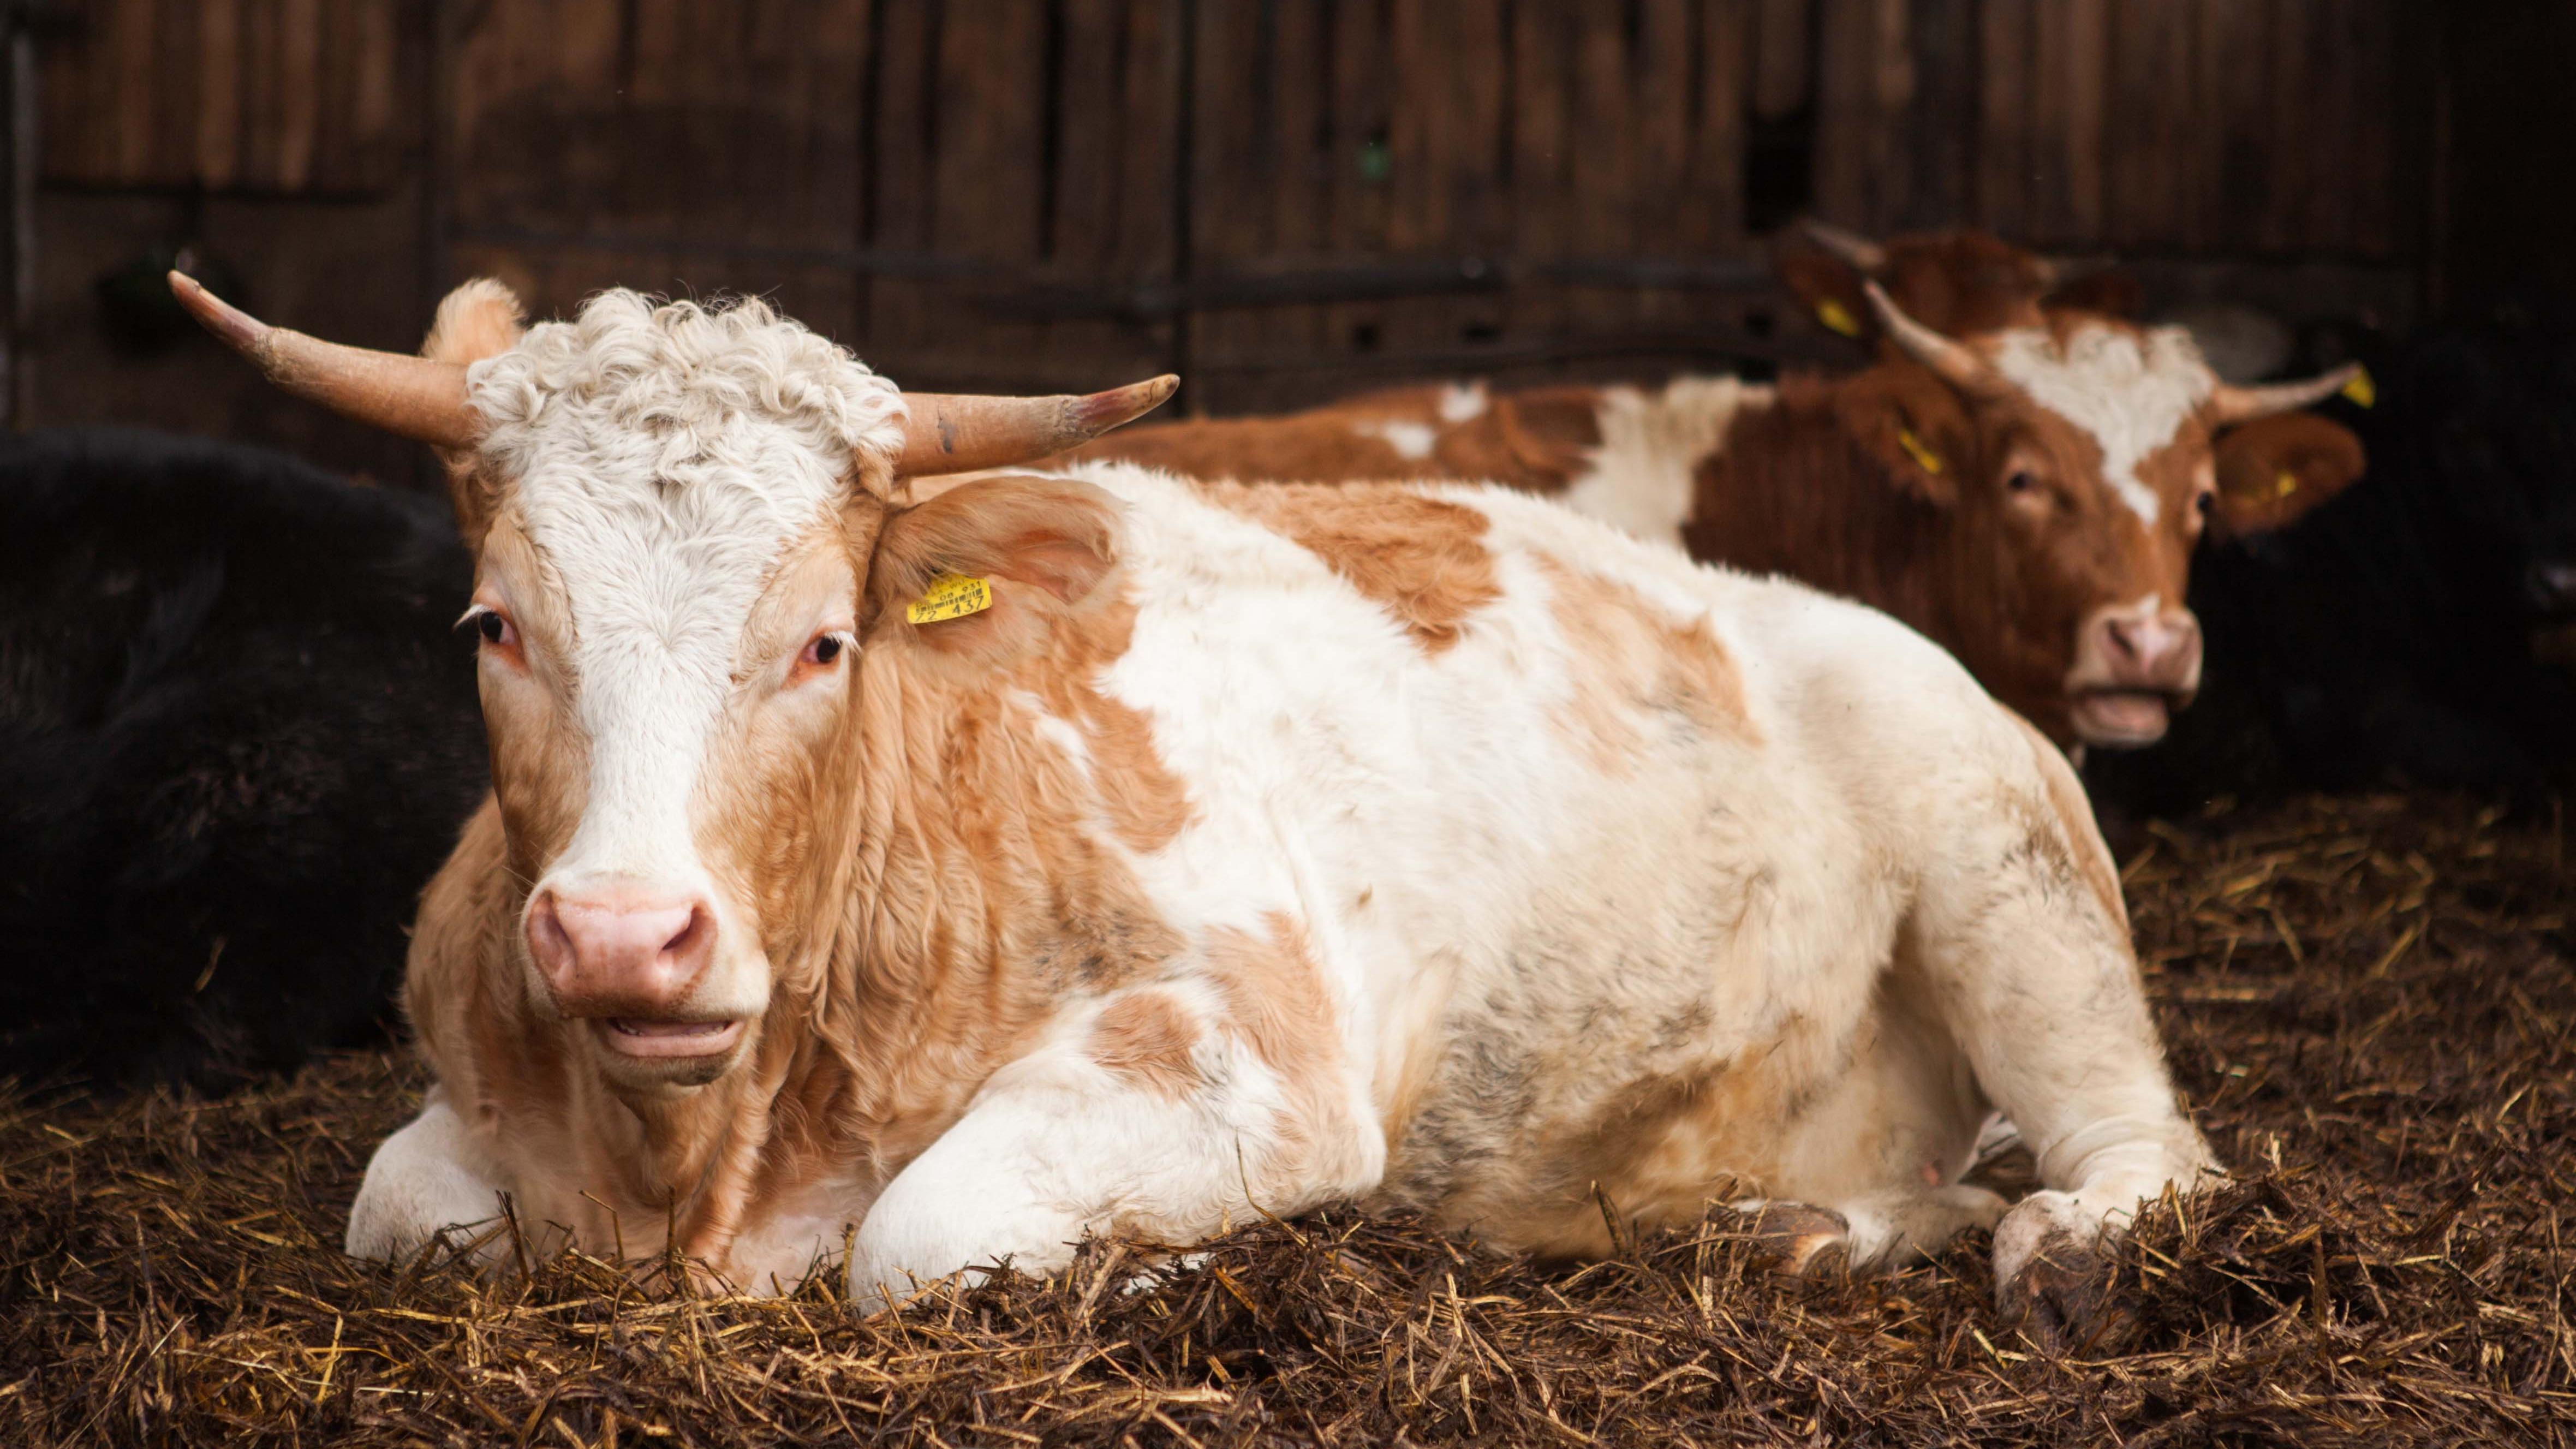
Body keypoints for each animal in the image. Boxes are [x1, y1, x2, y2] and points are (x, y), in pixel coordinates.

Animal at [187, 273, 2215, 1340]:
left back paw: (2049, 1238)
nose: (623, 934)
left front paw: (1163, 1276)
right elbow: (400, 1206)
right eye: (494, 626)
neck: (708, 1164)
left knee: (2143, 1153)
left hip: (2009, 870)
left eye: (825, 639)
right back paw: (1785, 1233)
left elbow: (921, 1239)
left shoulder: (1254, 1060)